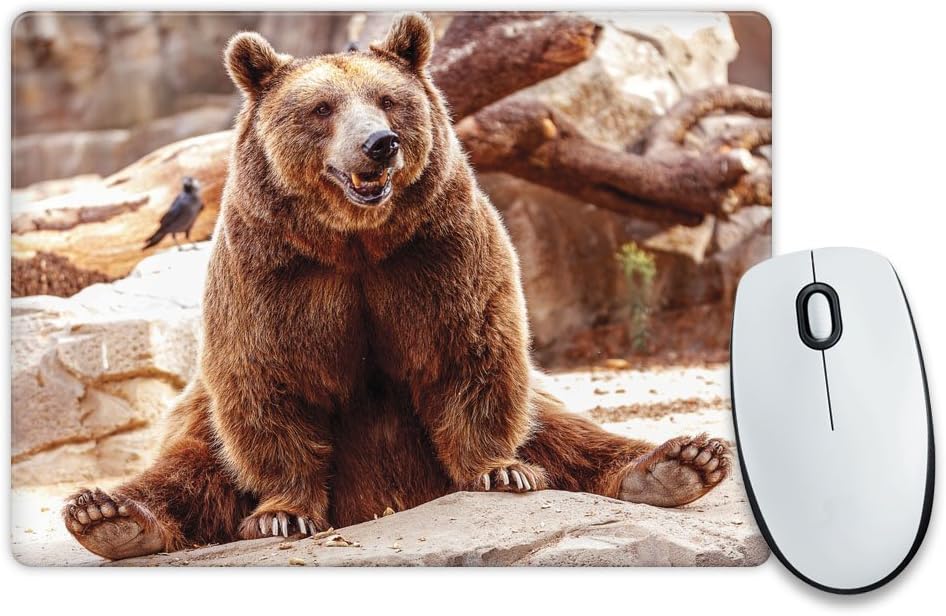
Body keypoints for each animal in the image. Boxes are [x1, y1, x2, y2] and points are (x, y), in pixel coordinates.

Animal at [62, 13, 731, 560]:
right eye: (322, 108)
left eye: (387, 100)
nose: (380, 144)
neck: (355, 242)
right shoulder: (273, 272)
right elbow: (269, 378)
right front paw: (283, 515)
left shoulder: (437, 254)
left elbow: (472, 350)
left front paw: (500, 472)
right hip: (199, 419)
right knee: (187, 466)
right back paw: (110, 516)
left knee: (567, 430)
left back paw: (681, 461)